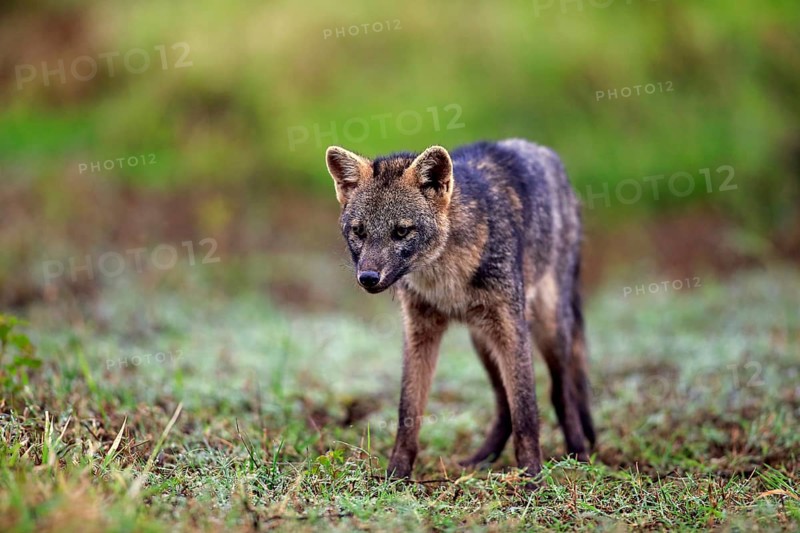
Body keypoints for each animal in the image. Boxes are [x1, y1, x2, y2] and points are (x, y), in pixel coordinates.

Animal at [324, 139, 595, 480]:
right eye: (359, 232)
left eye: (401, 231)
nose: (368, 278)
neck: (446, 280)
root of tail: (542, 151)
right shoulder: (419, 332)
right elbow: (408, 411)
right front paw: (396, 475)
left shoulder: (512, 326)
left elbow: (526, 411)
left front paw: (533, 476)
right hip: (483, 341)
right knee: (503, 405)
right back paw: (481, 459)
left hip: (547, 329)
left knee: (561, 392)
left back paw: (579, 455)